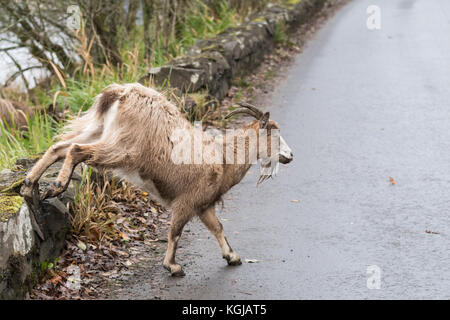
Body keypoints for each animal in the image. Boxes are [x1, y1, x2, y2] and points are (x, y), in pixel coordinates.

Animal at [21, 84, 294, 276]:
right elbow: (175, 232)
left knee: (60, 147)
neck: (223, 158)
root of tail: (119, 94)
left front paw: (232, 256)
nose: (290, 155)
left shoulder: (203, 205)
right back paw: (57, 185)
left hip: (99, 131)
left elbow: (218, 227)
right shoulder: (186, 202)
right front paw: (172, 267)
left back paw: (28, 186)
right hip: (122, 148)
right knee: (76, 149)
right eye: (274, 135)